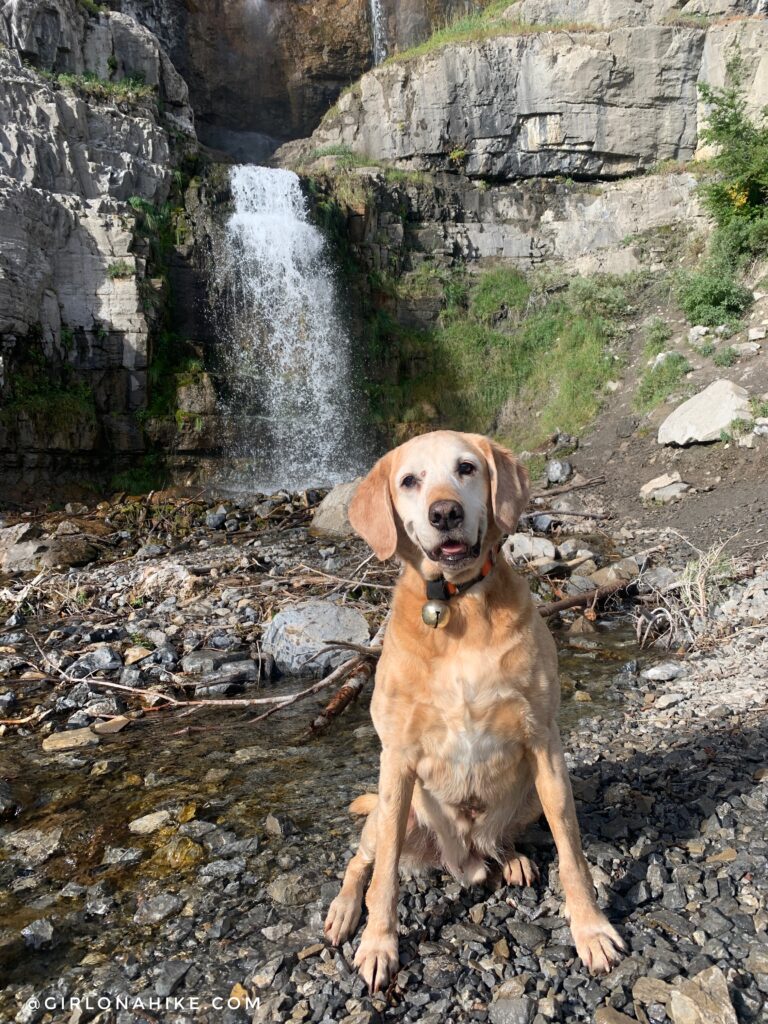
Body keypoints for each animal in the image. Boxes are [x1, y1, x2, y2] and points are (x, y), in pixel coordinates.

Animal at [325, 432, 626, 991]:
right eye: (409, 480)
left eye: (466, 468)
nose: (445, 513)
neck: (456, 605)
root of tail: (464, 859)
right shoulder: (397, 759)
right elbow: (385, 881)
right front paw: (379, 944)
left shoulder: (545, 745)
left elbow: (572, 853)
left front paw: (591, 929)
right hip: (391, 814)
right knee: (363, 862)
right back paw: (343, 908)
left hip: (527, 795)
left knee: (499, 840)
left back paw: (511, 860)